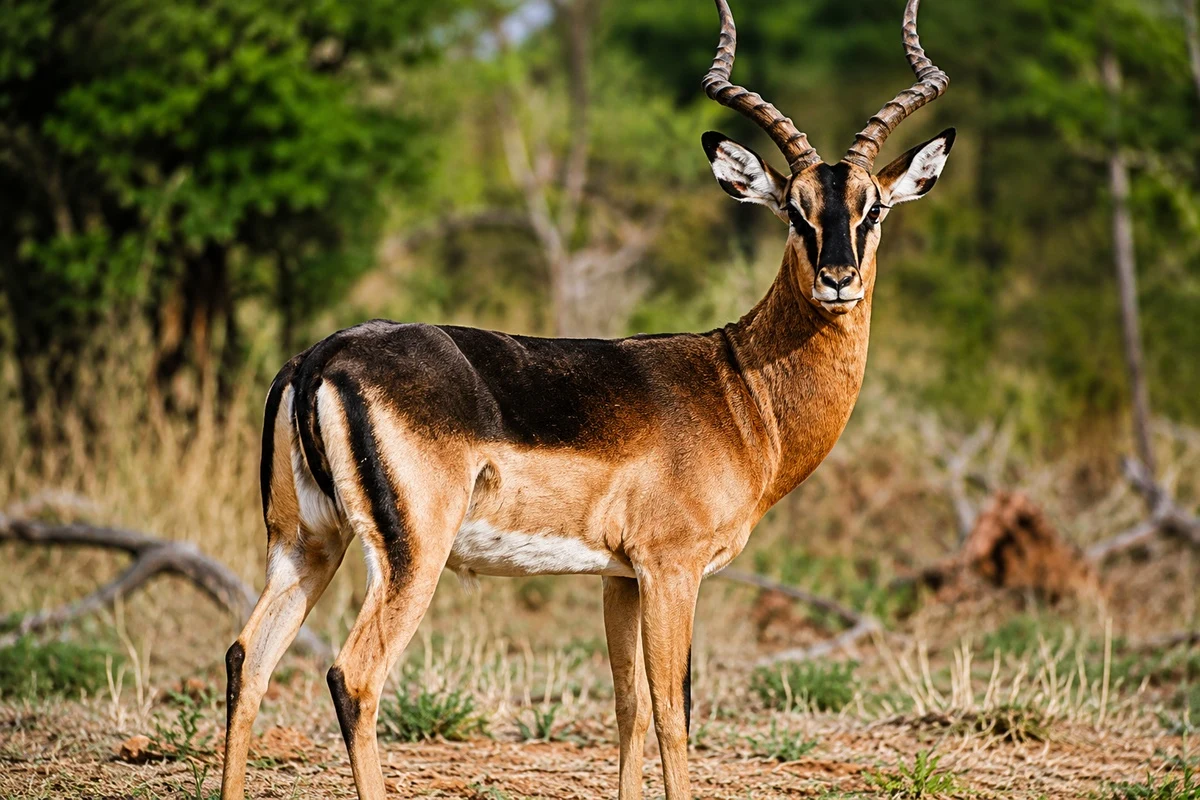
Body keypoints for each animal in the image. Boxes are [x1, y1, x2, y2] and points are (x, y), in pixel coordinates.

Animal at [220, 0, 954, 797]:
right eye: (794, 208)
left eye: (872, 207)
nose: (838, 279)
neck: (739, 386)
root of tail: (320, 358)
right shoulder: (671, 569)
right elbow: (672, 712)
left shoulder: (619, 576)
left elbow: (627, 708)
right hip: (411, 556)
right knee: (352, 677)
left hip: (305, 543)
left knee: (245, 659)